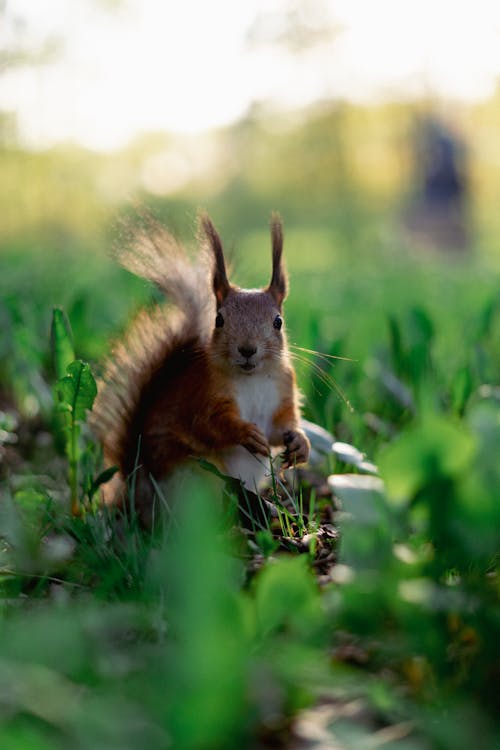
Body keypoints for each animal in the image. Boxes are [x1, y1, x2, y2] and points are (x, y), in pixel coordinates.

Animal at [90, 213, 308, 524]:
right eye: (219, 320)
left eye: (278, 321)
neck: (253, 377)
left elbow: (281, 427)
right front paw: (246, 433)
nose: (247, 349)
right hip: (198, 476)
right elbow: (207, 425)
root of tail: (136, 493)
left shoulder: (284, 391)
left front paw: (300, 443)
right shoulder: (203, 395)